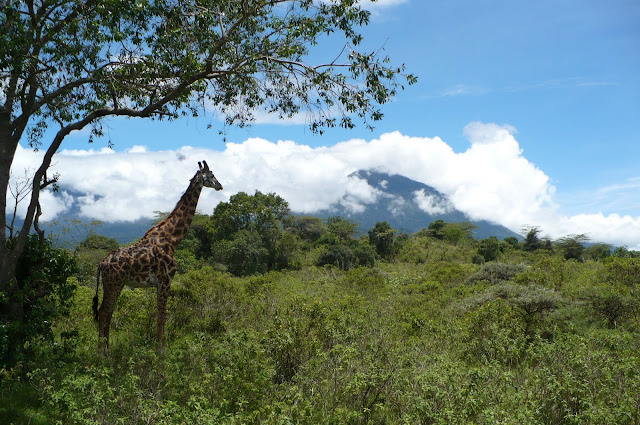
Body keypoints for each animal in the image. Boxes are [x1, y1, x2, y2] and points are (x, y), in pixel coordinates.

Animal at [92, 161, 222, 350]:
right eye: (211, 175)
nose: (220, 185)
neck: (172, 238)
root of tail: (101, 264)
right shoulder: (165, 279)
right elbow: (162, 317)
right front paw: (161, 351)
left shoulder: (159, 283)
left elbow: (159, 315)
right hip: (114, 283)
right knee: (104, 313)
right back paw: (104, 352)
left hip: (113, 284)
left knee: (106, 313)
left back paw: (104, 349)